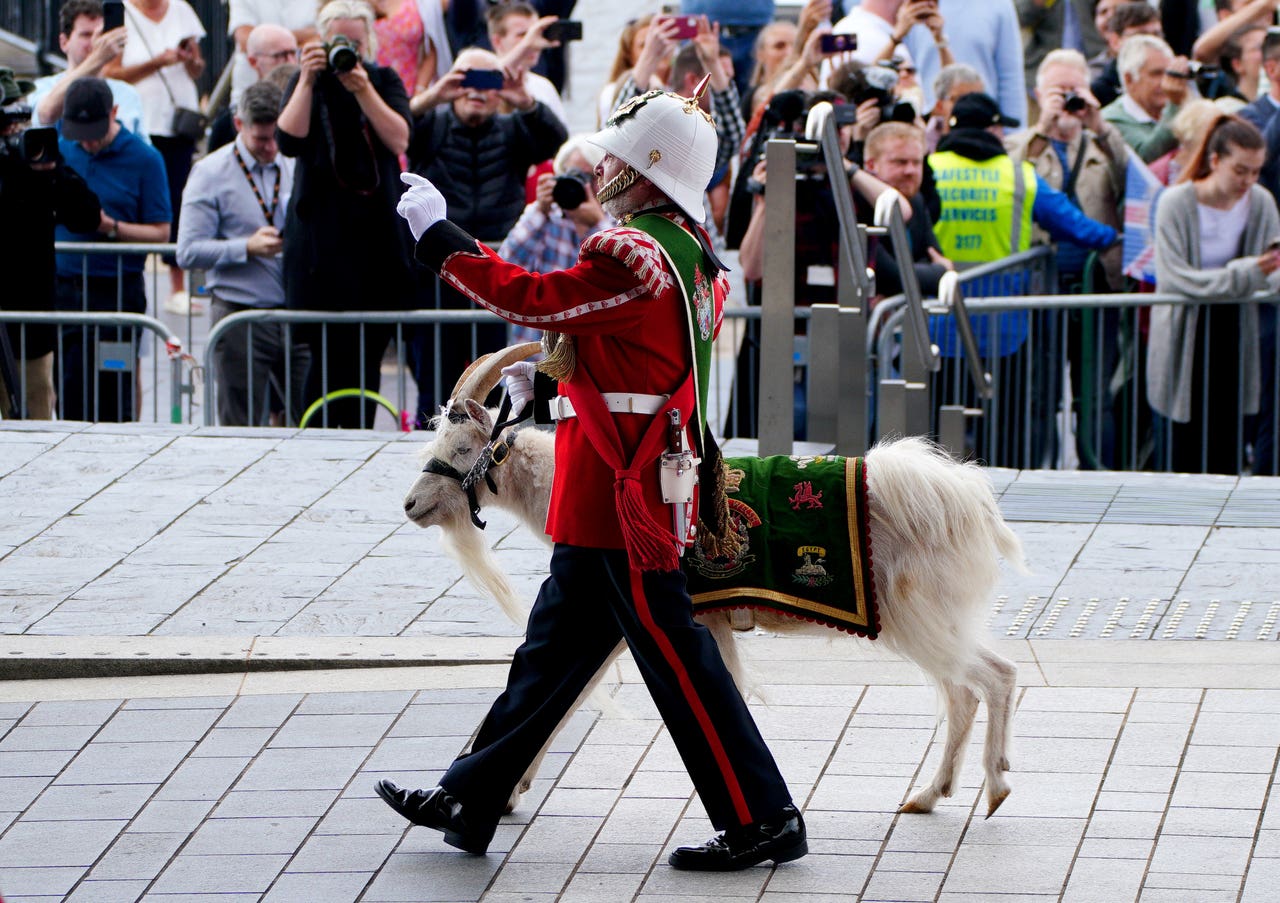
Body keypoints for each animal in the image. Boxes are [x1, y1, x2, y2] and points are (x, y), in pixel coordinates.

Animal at [404, 343, 1024, 819]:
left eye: (463, 448)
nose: (411, 505)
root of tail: (970, 504)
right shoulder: (679, 617)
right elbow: (581, 687)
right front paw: (509, 790)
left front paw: (506, 793)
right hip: (929, 616)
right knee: (963, 692)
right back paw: (930, 795)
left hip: (916, 611)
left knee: (994, 676)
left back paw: (995, 788)